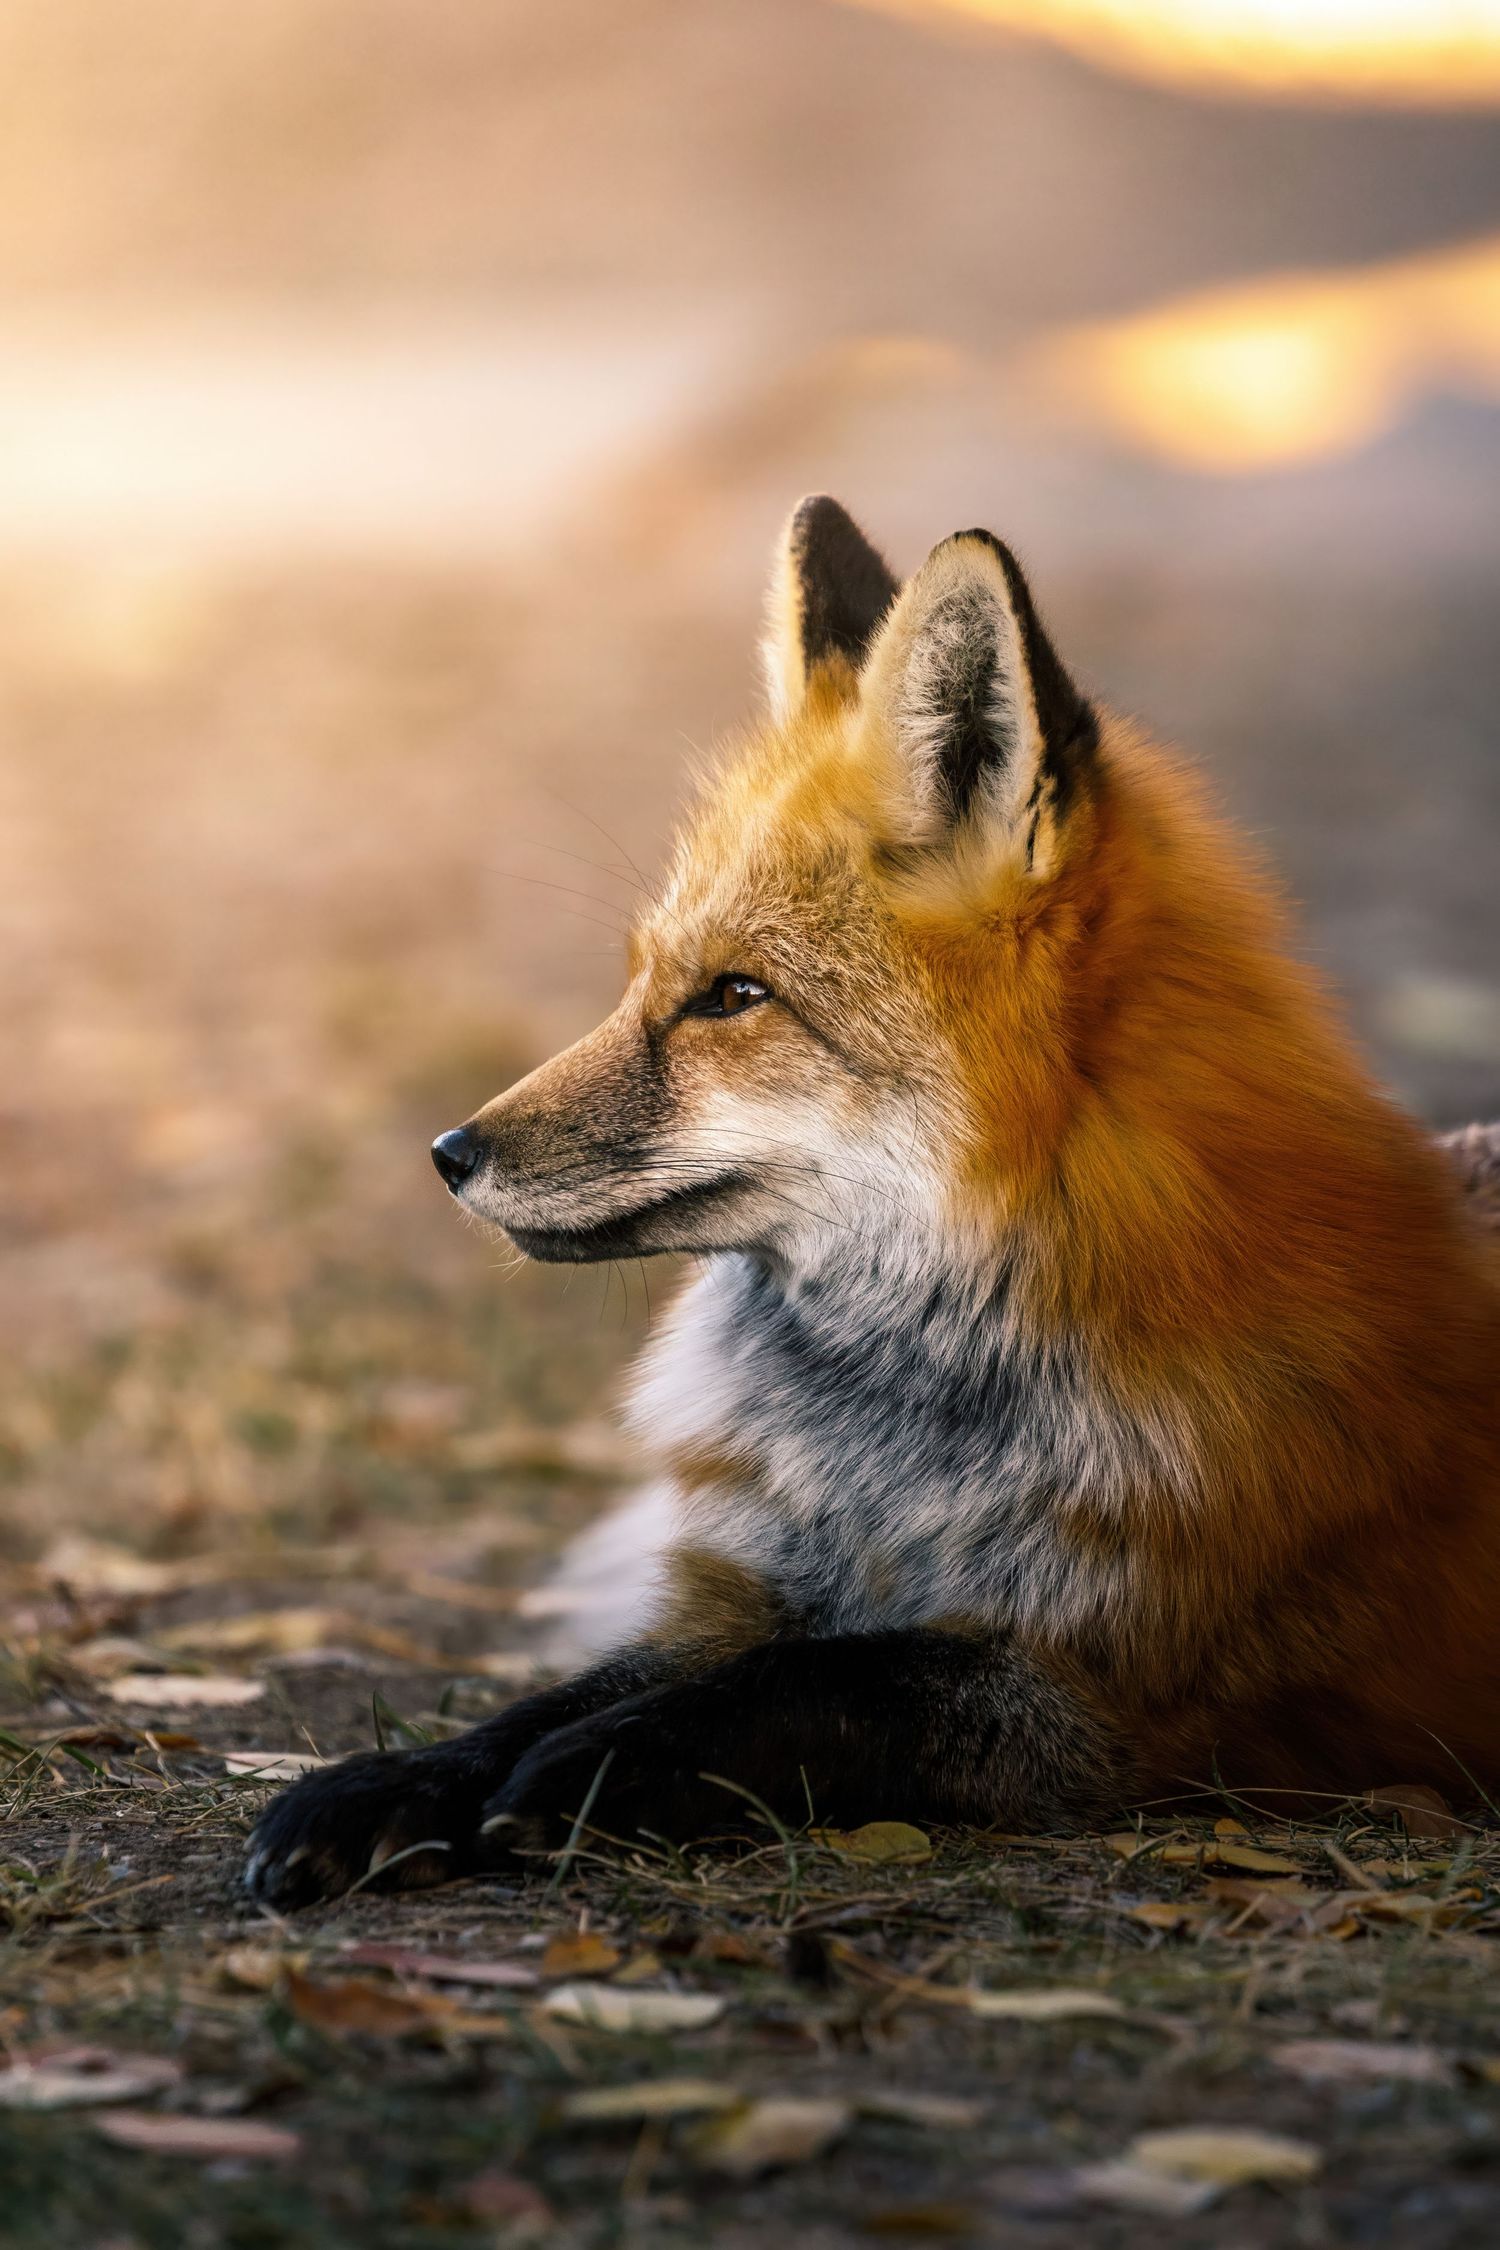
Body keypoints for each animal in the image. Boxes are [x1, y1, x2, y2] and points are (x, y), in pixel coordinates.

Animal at [246, 497, 1500, 1907]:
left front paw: (590, 1775)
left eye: (734, 997)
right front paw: (396, 1780)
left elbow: (826, 1680)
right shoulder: (747, 1588)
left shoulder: (1113, 1697)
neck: (894, 1455)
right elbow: (562, 1694)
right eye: (643, 982)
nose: (449, 1153)